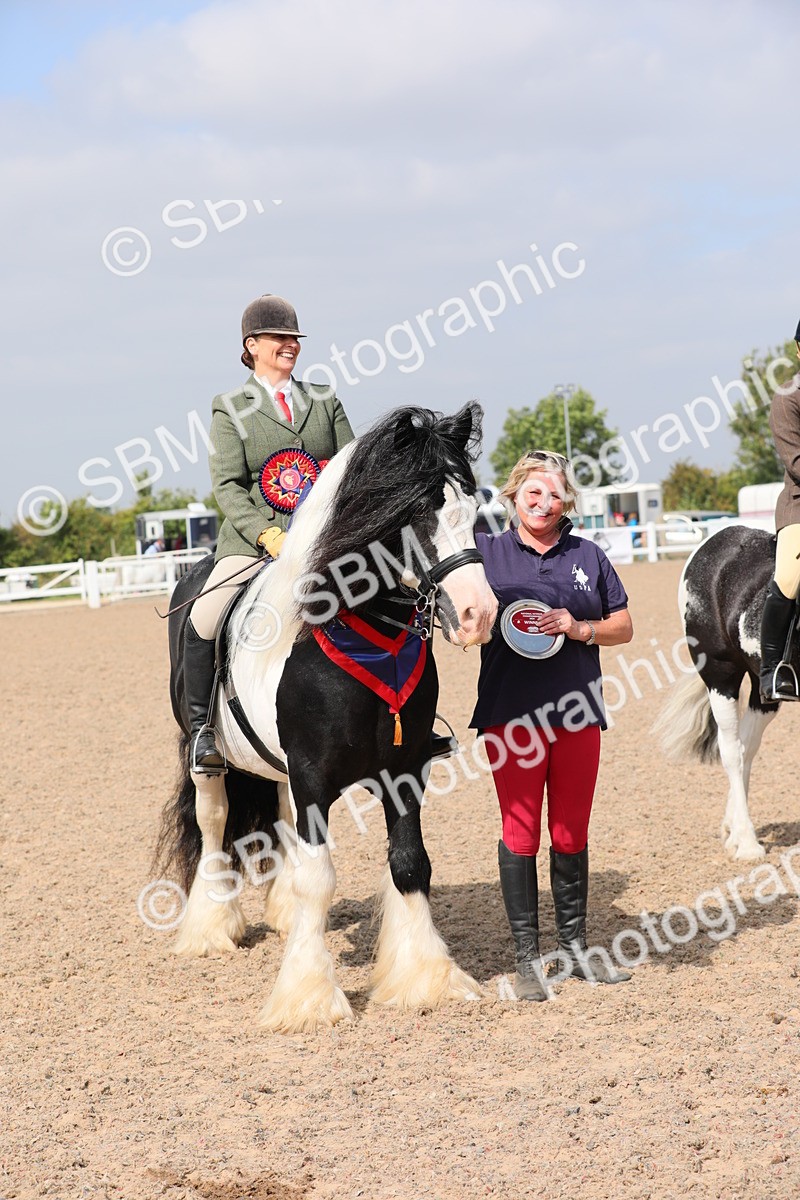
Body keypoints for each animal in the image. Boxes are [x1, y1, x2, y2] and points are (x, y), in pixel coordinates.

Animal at [154, 402, 498, 1033]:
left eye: (473, 507)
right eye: (415, 511)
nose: (477, 613)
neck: (360, 631)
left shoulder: (404, 770)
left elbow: (410, 863)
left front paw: (423, 979)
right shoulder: (313, 774)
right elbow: (318, 879)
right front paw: (308, 998)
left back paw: (282, 914)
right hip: (205, 756)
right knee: (213, 819)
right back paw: (211, 928)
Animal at [654, 523, 792, 861]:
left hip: (763, 688)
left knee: (746, 748)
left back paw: (733, 831)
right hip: (721, 677)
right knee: (731, 751)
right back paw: (746, 843)